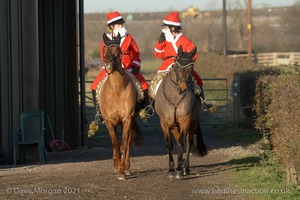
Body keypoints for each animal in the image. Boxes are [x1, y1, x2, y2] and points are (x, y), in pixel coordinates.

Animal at [98, 33, 143, 180]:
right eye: (104, 49)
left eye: (118, 50)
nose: (108, 63)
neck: (117, 89)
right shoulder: (109, 121)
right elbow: (115, 144)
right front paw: (118, 167)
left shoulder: (127, 119)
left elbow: (123, 144)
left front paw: (123, 171)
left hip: (128, 122)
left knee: (127, 142)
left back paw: (126, 167)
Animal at [154, 45, 207, 178]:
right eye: (177, 67)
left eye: (191, 68)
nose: (182, 89)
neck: (175, 97)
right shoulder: (165, 122)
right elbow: (170, 144)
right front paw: (171, 169)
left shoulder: (185, 120)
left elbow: (183, 143)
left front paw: (178, 169)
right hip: (175, 125)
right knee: (178, 142)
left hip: (192, 122)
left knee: (188, 142)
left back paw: (185, 167)